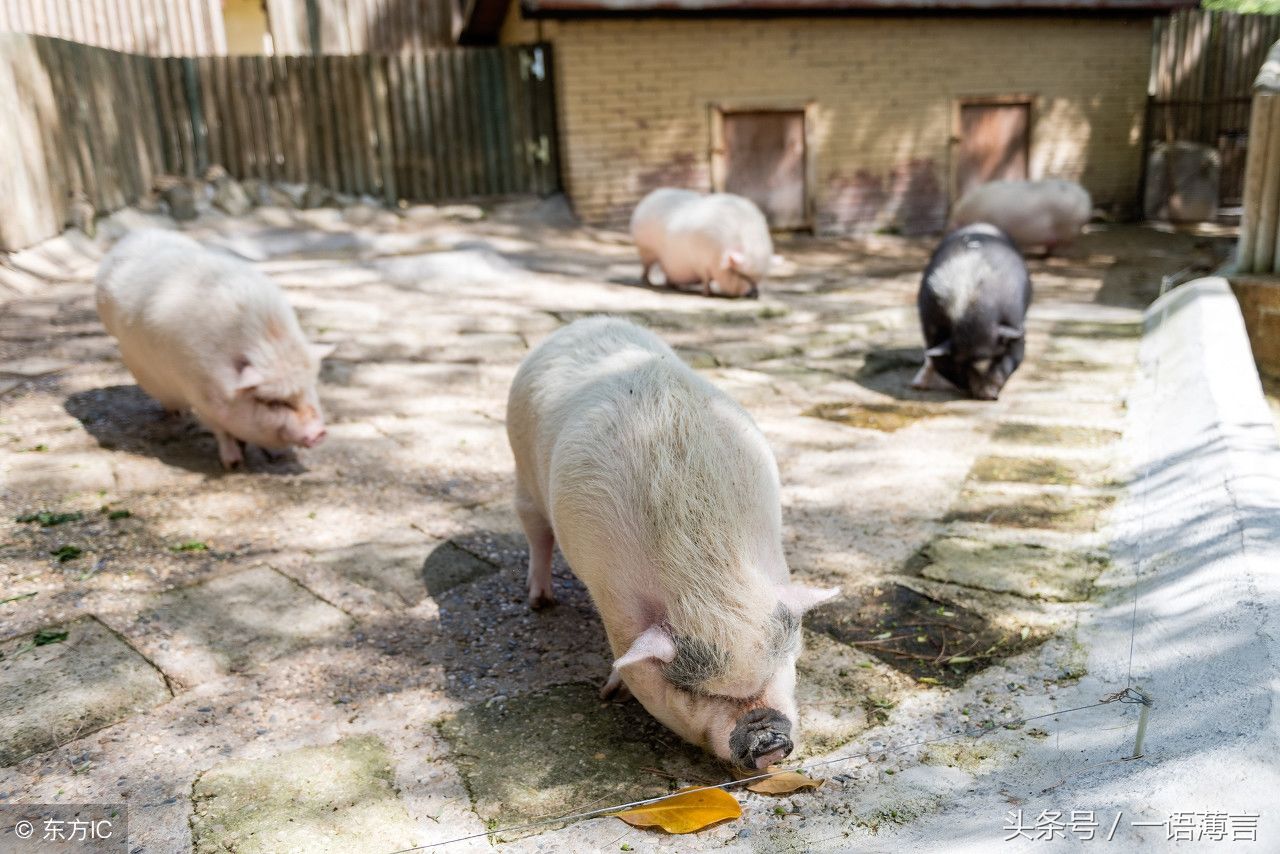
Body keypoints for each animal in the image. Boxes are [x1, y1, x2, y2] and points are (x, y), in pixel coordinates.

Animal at [96, 230, 335, 471]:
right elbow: (222, 432)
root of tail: (137, 234)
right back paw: (177, 415)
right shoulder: (199, 397)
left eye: (308, 389)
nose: (319, 433)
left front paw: (278, 456)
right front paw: (233, 464)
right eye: (273, 402)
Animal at [509, 317, 839, 773]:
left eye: (780, 667)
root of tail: (584, 322)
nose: (768, 742)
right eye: (694, 691)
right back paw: (540, 602)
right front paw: (612, 694)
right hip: (522, 468)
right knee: (536, 531)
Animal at [627, 188, 768, 299]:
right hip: (645, 249)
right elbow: (705, 278)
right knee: (647, 267)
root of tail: (649, 198)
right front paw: (708, 294)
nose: (755, 295)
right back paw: (648, 283)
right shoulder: (701, 261)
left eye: (758, 278)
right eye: (742, 275)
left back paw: (673, 286)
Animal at [911, 225, 1029, 402]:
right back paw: (917, 385)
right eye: (960, 363)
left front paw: (988, 394)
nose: (984, 395)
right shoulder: (932, 329)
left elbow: (1010, 359)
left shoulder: (1014, 325)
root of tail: (981, 225)